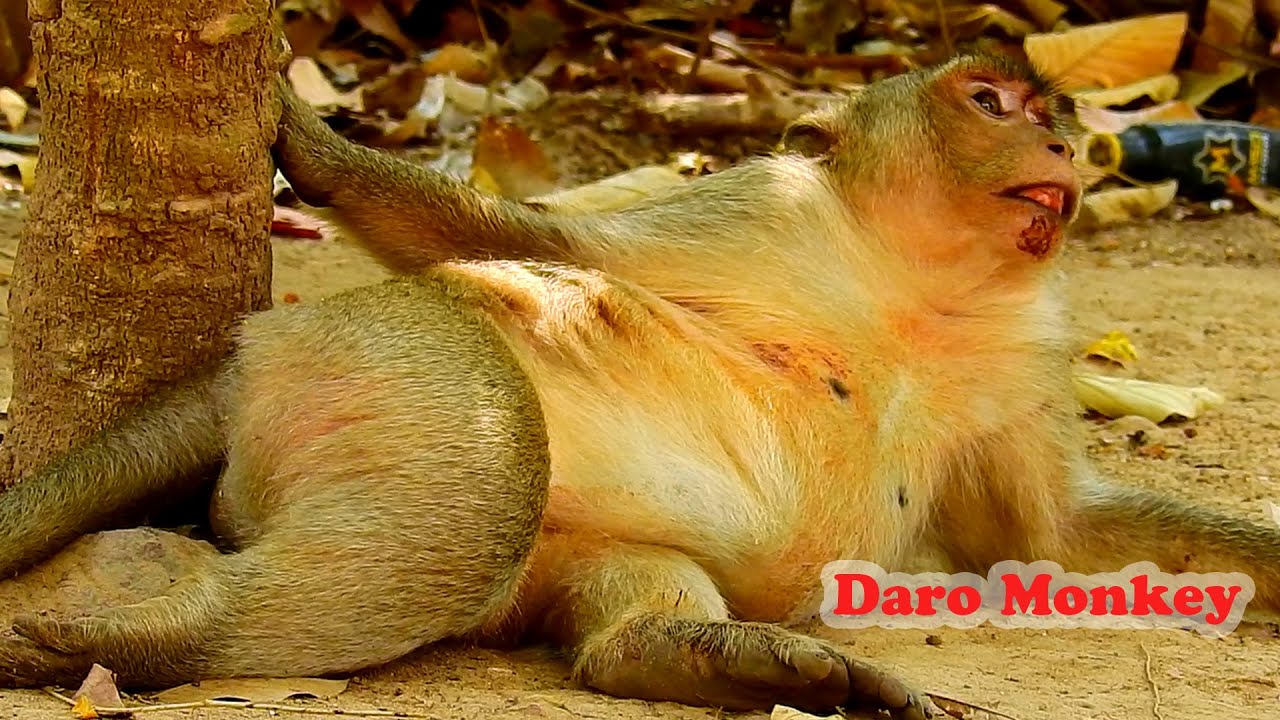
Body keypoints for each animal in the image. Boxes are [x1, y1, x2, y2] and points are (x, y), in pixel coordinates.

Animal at [2, 51, 1279, 720]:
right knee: (485, 482)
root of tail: (261, 342)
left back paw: (699, 655)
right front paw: (316, 148)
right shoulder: (759, 208)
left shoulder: (1027, 348)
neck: (921, 284)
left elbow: (1053, 539)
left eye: (1049, 112)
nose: (1062, 145)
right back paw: (149, 643)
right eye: (990, 103)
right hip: (402, 351)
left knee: (596, 590)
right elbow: (540, 245)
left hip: (530, 523)